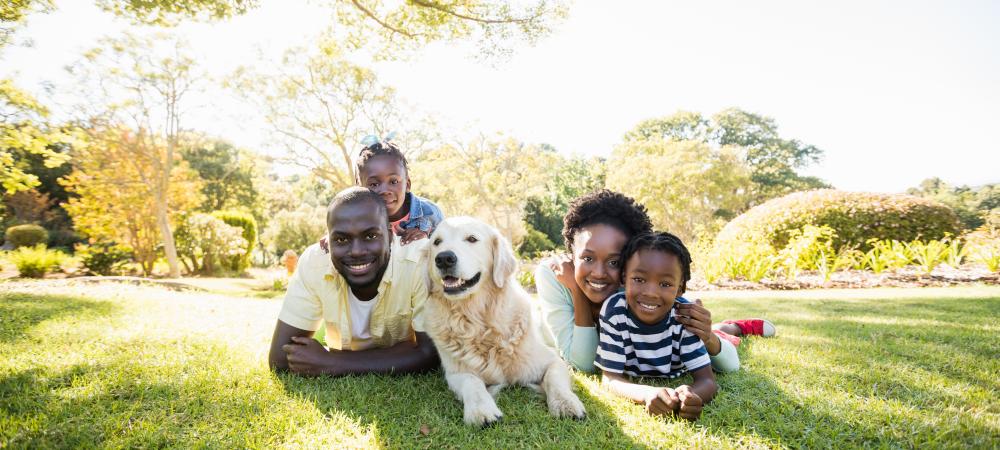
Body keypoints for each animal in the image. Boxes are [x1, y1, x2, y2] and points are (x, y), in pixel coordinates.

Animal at [424, 217, 584, 426]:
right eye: (437, 242)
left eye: (472, 239)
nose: (443, 259)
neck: (479, 322)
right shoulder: (455, 373)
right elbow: (472, 382)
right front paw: (481, 411)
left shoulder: (552, 360)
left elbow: (554, 379)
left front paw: (566, 403)